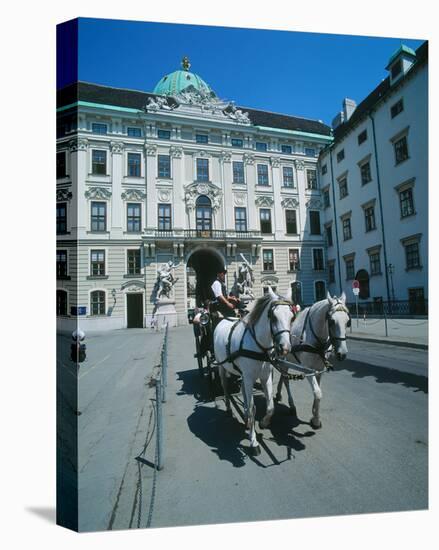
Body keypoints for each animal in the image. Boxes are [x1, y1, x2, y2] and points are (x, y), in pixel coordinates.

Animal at [214, 288, 296, 458]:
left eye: (292, 317)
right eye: (273, 317)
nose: (285, 348)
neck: (259, 346)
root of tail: (224, 319)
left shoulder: (265, 378)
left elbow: (270, 406)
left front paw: (264, 422)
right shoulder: (249, 377)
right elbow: (253, 409)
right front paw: (254, 442)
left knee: (244, 392)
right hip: (222, 367)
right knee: (225, 387)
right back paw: (229, 409)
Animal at [276, 294, 352, 432]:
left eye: (348, 321)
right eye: (331, 321)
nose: (342, 354)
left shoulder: (319, 369)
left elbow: (318, 390)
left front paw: (314, 412)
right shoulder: (308, 370)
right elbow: (317, 393)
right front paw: (316, 421)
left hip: (286, 360)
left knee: (283, 376)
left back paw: (279, 394)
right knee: (286, 380)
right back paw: (291, 405)